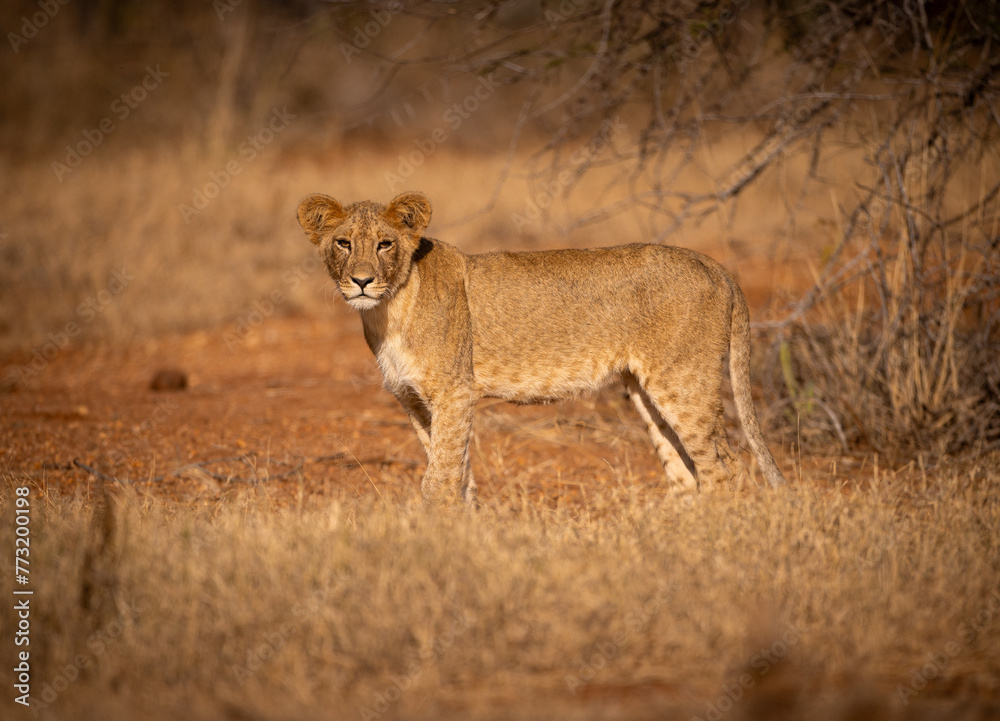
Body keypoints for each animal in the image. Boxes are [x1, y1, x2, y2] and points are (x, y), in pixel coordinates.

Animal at [297, 191, 785, 505]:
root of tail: (713, 263)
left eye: (384, 244)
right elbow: (456, 472)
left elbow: (440, 479)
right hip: (646, 391)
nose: (361, 280)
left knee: (724, 470)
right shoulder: (416, 402)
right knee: (685, 474)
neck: (388, 311)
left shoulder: (455, 394)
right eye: (343, 243)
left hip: (683, 382)